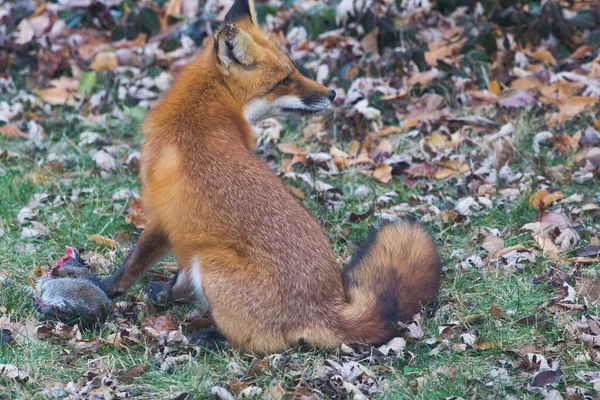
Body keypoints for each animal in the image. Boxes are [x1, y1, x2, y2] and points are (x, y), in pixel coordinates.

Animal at [99, 0, 440, 354]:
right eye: (286, 79)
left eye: (292, 73)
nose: (332, 93)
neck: (204, 109)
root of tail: (326, 308)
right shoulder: (184, 226)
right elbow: (175, 275)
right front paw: (162, 293)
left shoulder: (165, 216)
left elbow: (133, 261)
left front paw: (107, 288)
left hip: (212, 263)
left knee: (257, 343)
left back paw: (212, 338)